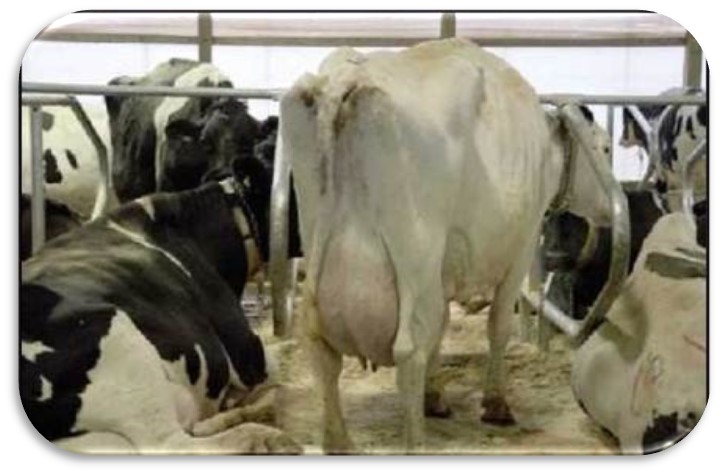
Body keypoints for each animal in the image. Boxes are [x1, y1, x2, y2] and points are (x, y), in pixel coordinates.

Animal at [278, 38, 616, 454]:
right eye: (605, 148)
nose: (609, 210)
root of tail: (349, 77)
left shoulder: (445, 267)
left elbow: (441, 329)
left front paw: (435, 396)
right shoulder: (522, 246)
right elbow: (497, 324)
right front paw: (495, 403)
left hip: (321, 246)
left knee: (321, 348)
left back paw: (340, 443)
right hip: (416, 260)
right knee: (408, 350)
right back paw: (414, 442)